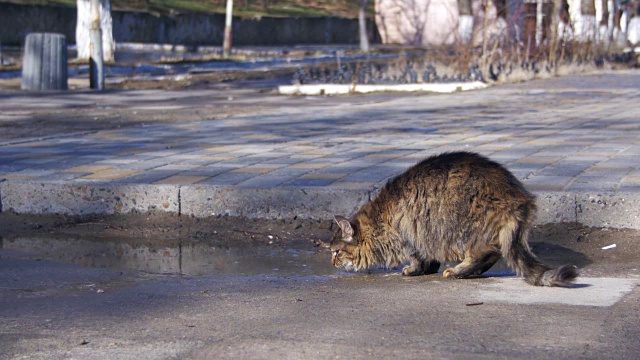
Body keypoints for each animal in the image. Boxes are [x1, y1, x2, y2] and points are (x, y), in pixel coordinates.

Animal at [330, 150, 580, 286]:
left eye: (336, 252)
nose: (331, 262)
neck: (379, 218)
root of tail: (517, 197)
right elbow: (429, 258)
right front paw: (428, 268)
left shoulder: (408, 233)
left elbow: (418, 258)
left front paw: (415, 270)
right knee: (494, 251)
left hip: (458, 227)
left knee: (483, 253)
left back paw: (459, 271)